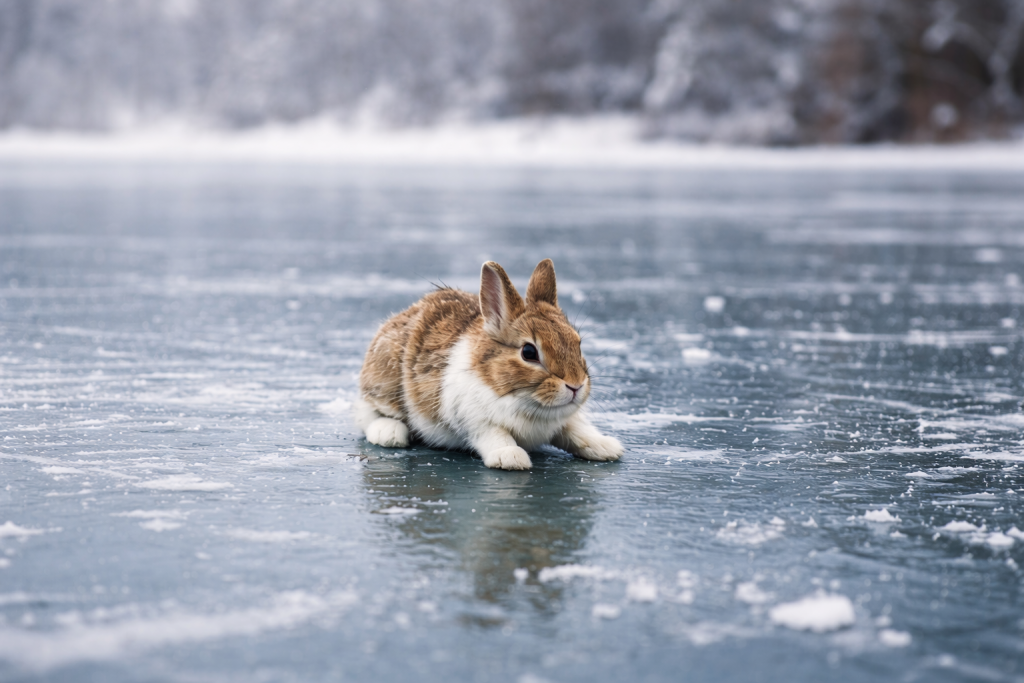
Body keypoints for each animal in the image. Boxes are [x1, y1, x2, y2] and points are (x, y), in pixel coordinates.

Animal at [354, 259, 623, 470]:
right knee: (367, 411)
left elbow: (577, 431)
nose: (575, 386)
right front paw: (511, 458)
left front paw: (607, 447)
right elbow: (495, 435)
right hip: (385, 383)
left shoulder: (565, 421)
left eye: (578, 343)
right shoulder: (476, 420)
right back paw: (389, 433)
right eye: (529, 352)